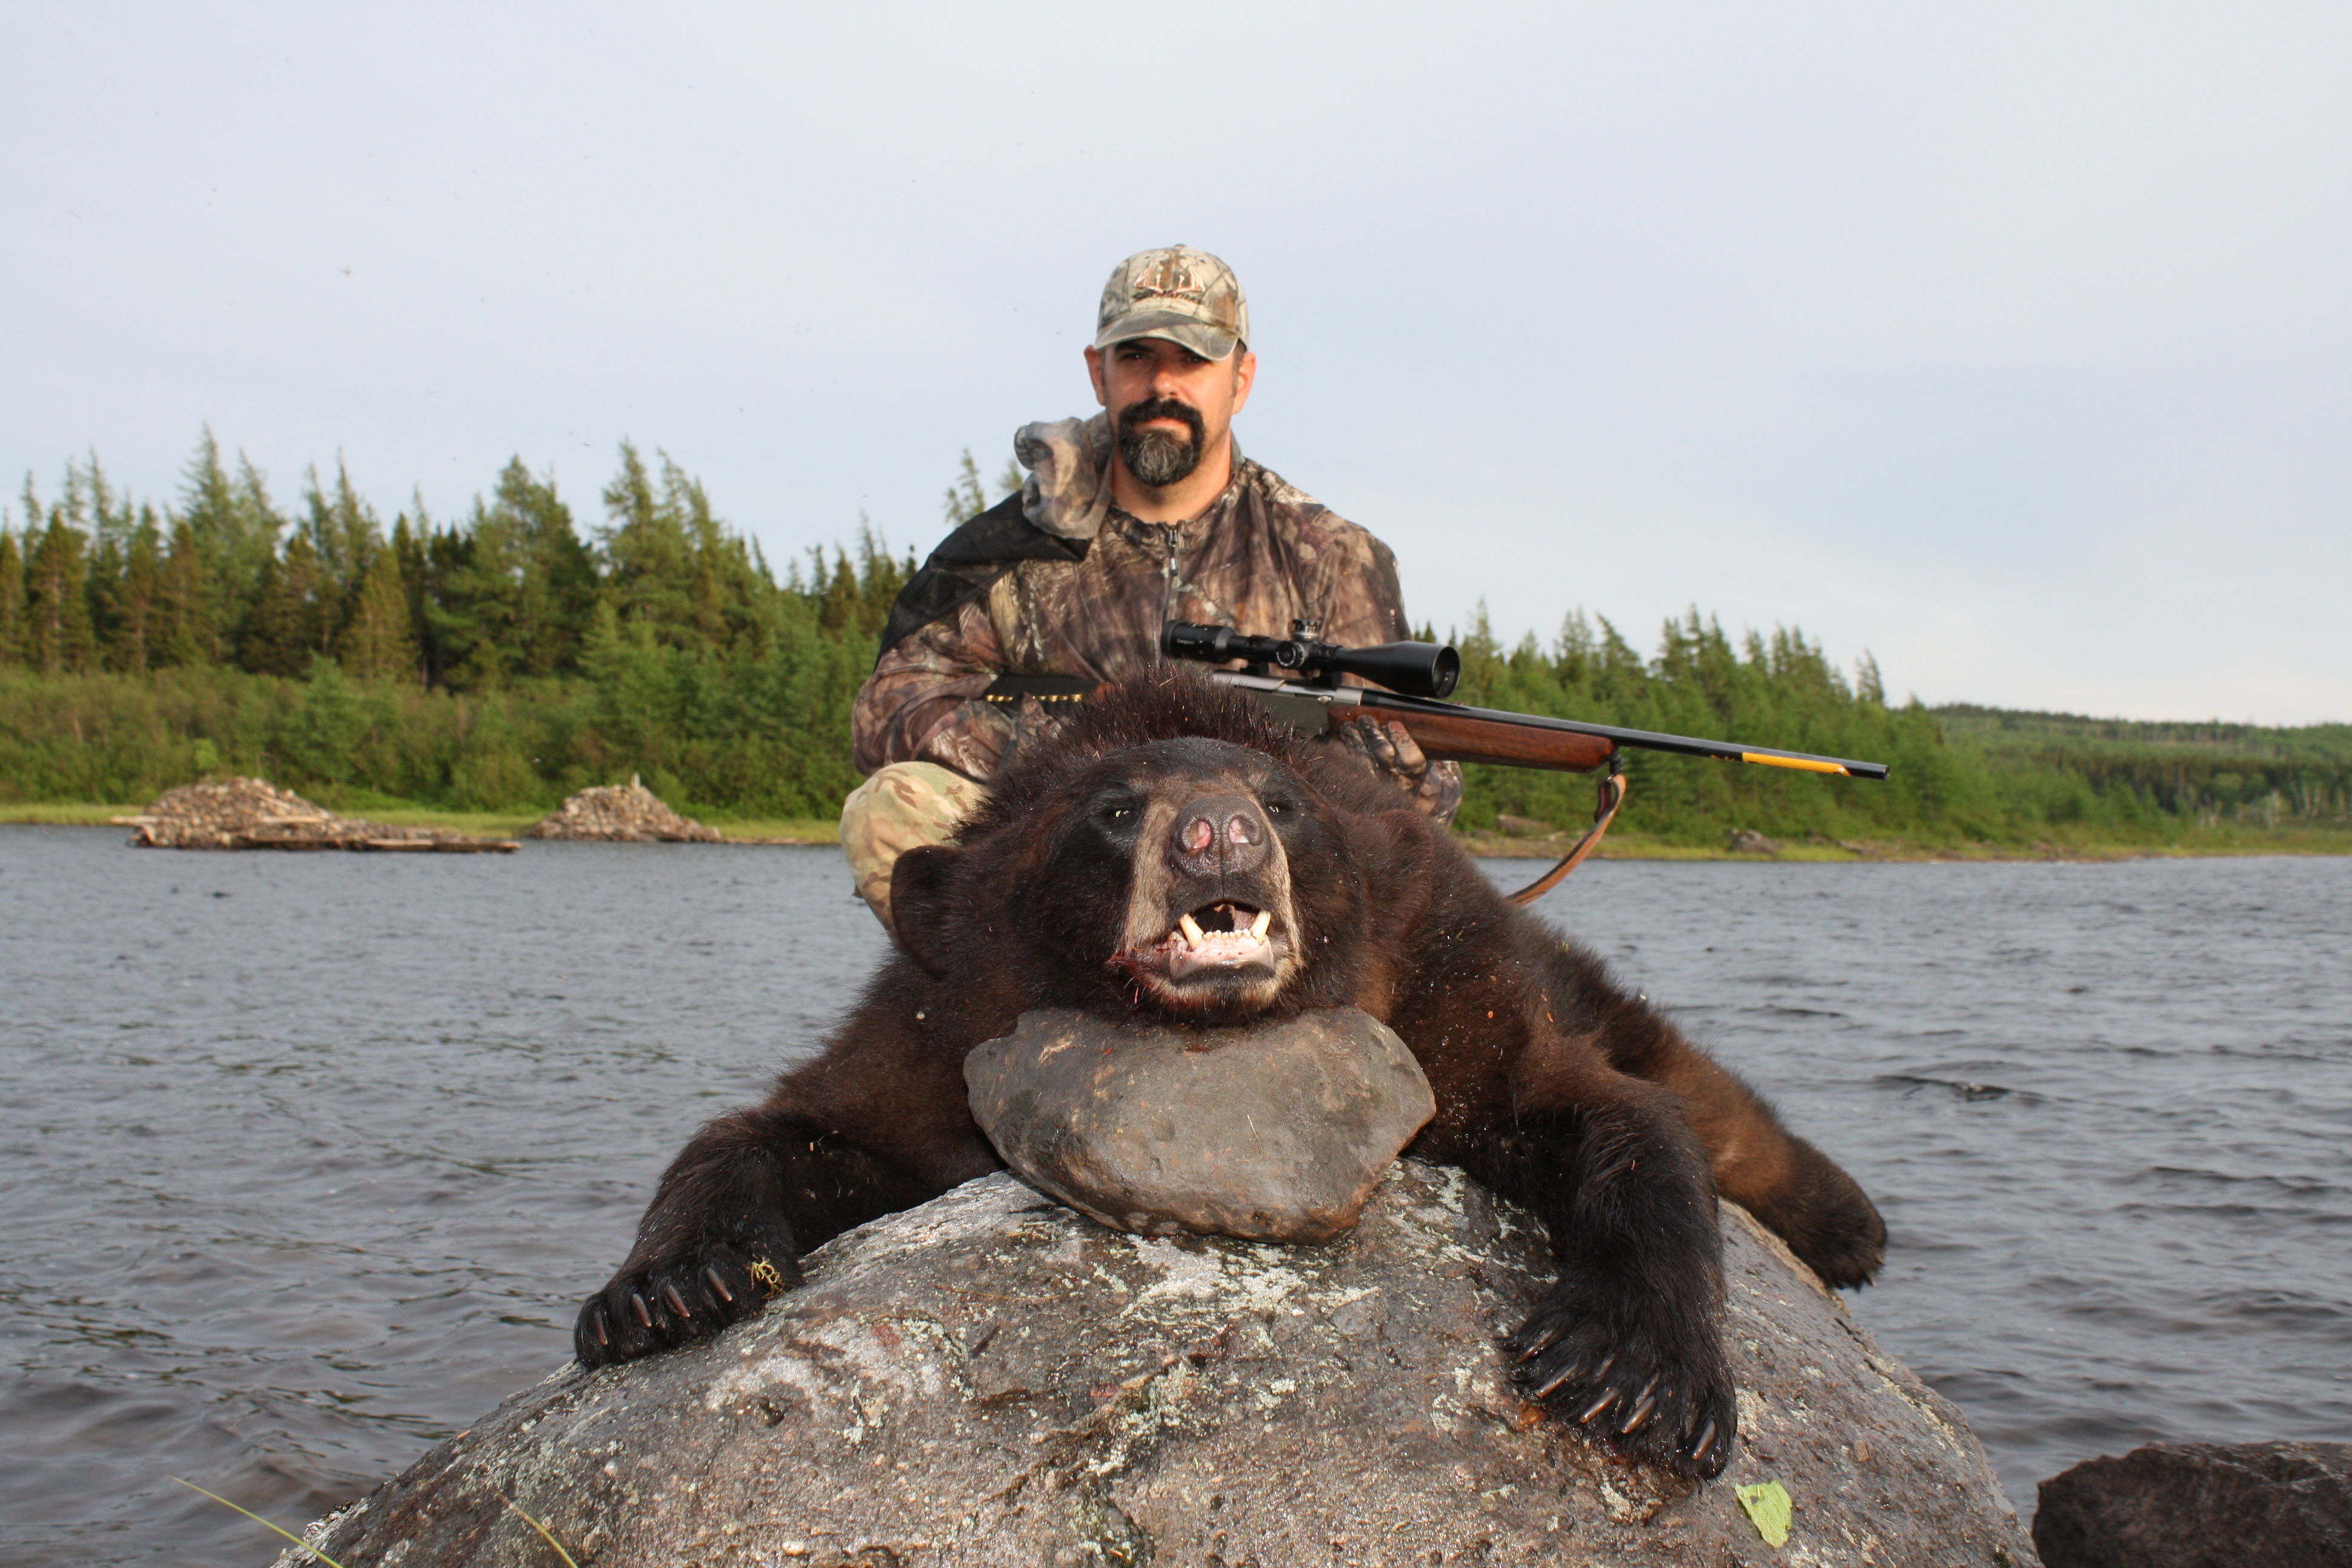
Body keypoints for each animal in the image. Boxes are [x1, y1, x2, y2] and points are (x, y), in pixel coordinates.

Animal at [572, 668, 1886, 1479]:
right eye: (1113, 808)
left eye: (1283, 802)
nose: (1218, 834)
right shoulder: (937, 1029)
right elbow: (792, 1128)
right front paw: (670, 1283)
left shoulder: (1450, 993)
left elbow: (1614, 1120)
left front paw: (1629, 1366)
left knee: (1684, 1075)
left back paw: (1853, 1226)